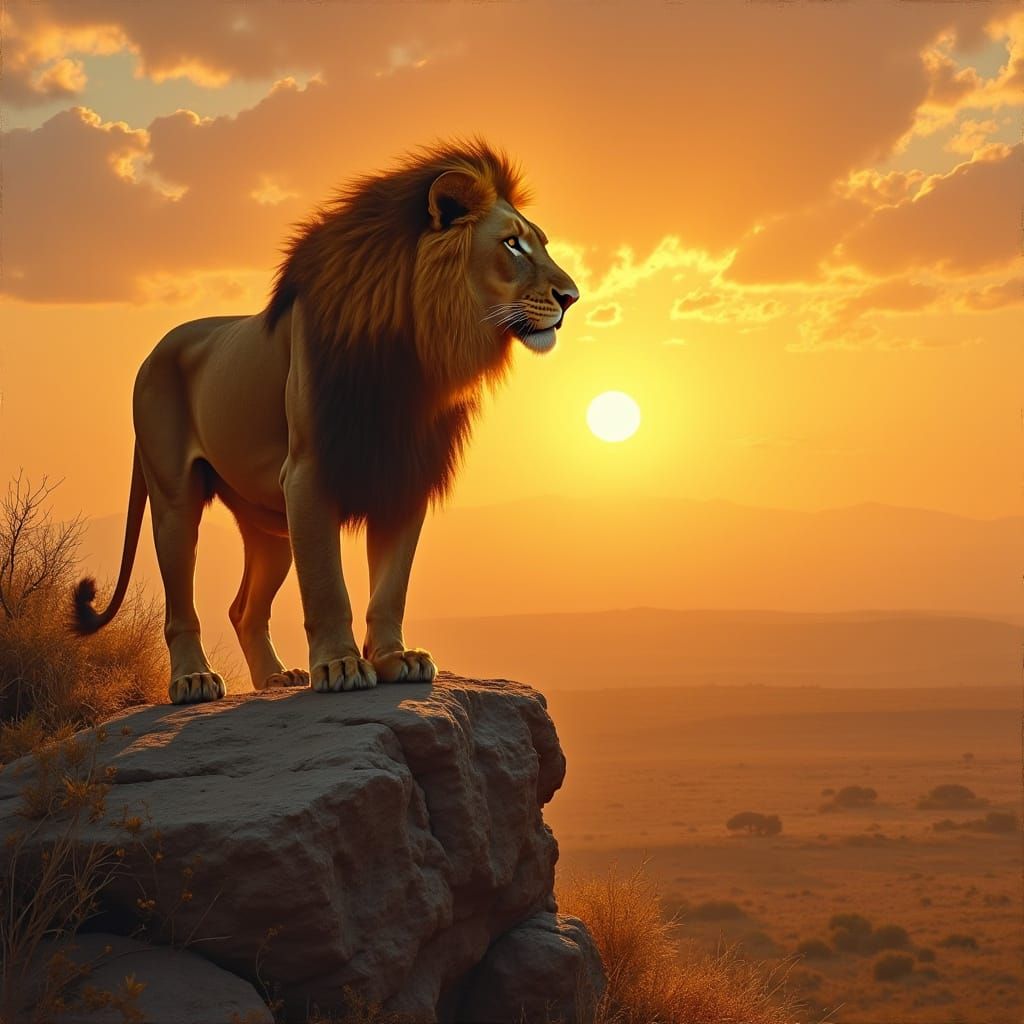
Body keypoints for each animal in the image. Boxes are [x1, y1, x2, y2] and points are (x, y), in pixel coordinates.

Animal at [71, 139, 579, 704]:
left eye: (541, 244)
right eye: (513, 245)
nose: (572, 298)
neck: (417, 354)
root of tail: (156, 348)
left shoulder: (403, 475)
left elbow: (391, 586)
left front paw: (395, 658)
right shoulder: (308, 474)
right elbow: (327, 587)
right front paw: (339, 666)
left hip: (269, 524)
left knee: (244, 607)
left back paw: (276, 677)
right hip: (175, 499)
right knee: (182, 604)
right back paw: (193, 680)